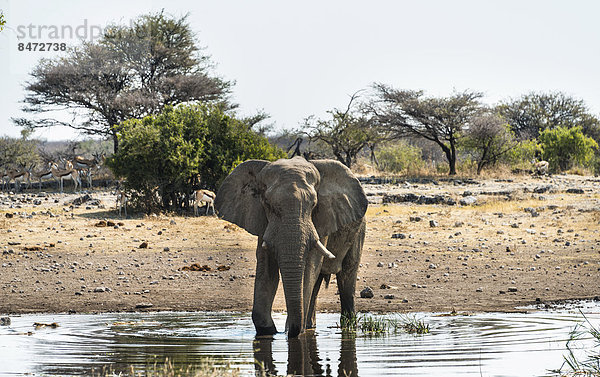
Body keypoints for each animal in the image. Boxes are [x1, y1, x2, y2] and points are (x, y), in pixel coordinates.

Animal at [216, 156, 366, 338]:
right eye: (267, 203)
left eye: (314, 204)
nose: (287, 331)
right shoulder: (262, 221)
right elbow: (267, 269)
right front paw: (270, 331)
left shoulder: (322, 219)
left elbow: (310, 267)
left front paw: (293, 330)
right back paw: (309, 326)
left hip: (359, 230)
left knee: (347, 276)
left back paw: (347, 325)